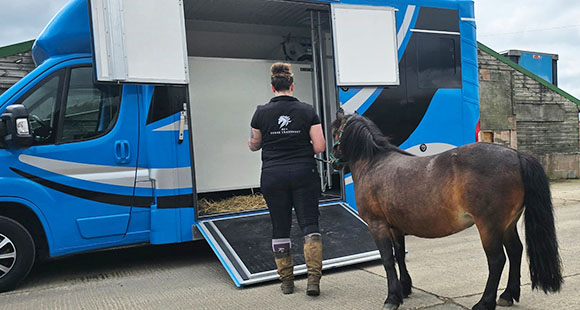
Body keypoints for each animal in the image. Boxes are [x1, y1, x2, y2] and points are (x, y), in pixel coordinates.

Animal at [330, 111, 560, 310]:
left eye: (333, 131)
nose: (332, 163)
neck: (374, 164)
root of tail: (516, 154)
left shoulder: (377, 225)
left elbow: (387, 260)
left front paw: (392, 298)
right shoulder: (395, 226)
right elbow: (399, 256)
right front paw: (404, 288)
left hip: (489, 227)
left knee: (497, 260)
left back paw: (485, 302)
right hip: (507, 225)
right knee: (515, 251)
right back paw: (507, 295)